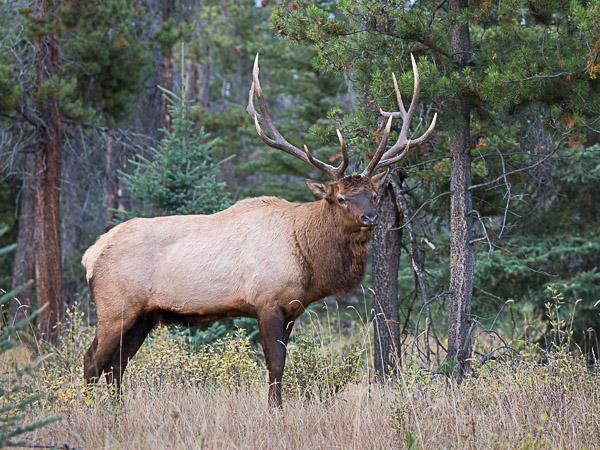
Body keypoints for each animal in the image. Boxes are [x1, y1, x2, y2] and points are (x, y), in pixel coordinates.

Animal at [82, 53, 436, 408]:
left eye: (373, 195)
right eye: (341, 198)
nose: (371, 218)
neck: (307, 256)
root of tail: (91, 254)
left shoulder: (292, 308)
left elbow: (281, 361)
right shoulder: (267, 301)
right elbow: (274, 363)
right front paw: (274, 408)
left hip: (144, 315)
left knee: (117, 363)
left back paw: (117, 407)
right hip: (115, 306)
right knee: (93, 359)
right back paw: (88, 408)